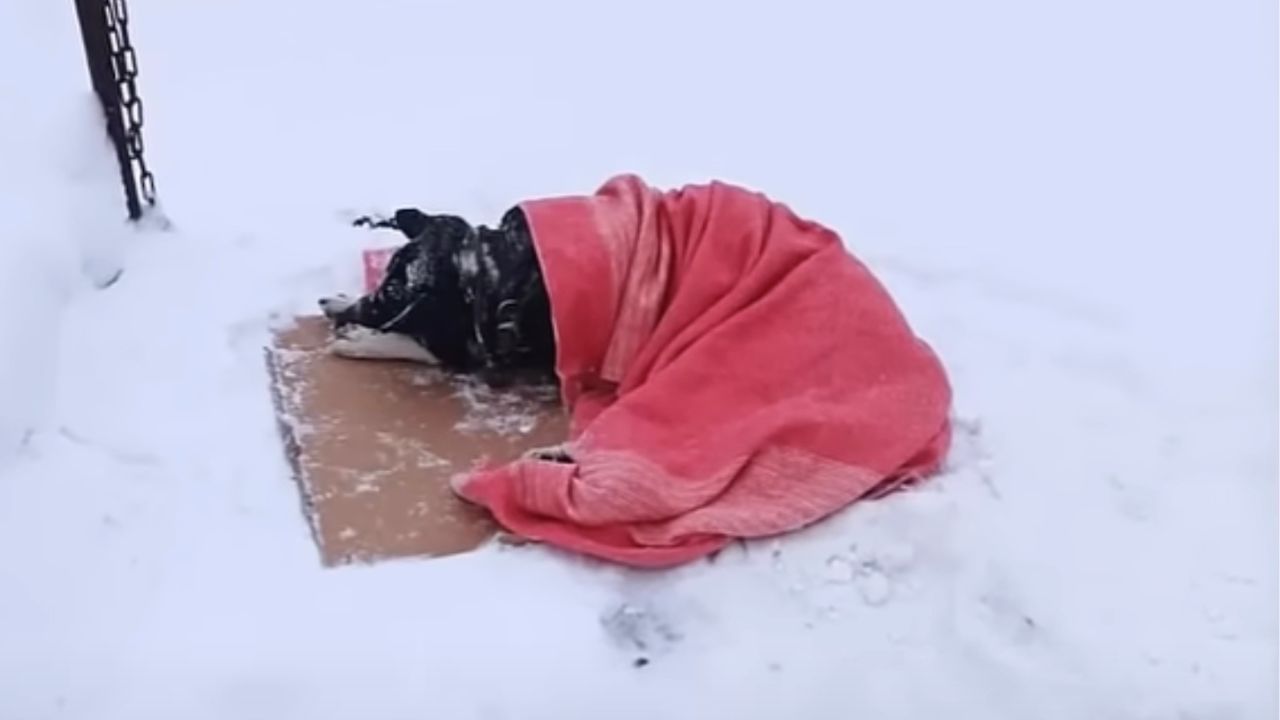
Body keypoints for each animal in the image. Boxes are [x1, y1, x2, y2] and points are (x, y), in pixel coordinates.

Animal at [318, 204, 555, 384]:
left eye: (391, 297)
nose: (340, 320)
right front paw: (338, 301)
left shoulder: (460, 344)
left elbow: (412, 344)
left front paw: (358, 339)